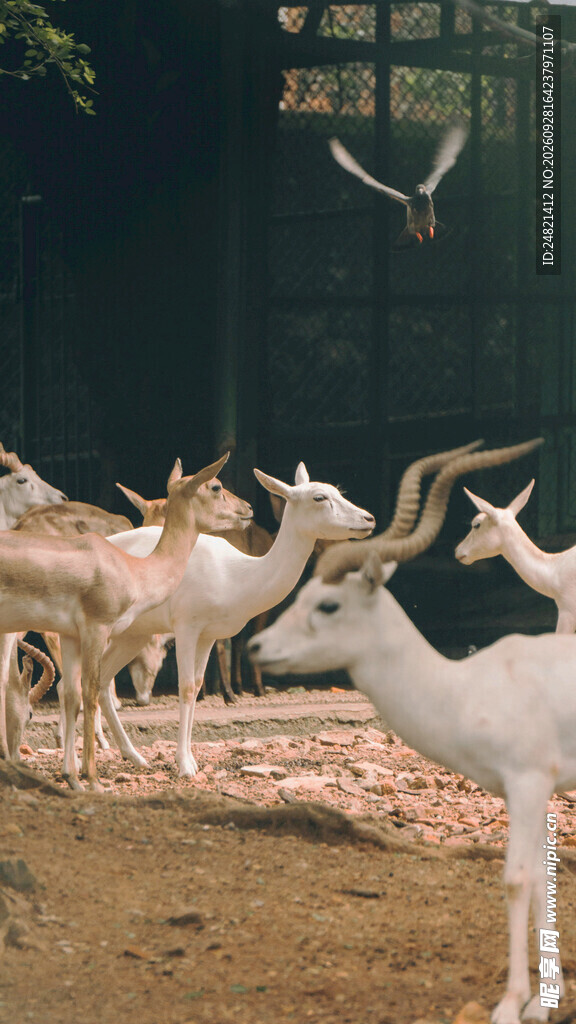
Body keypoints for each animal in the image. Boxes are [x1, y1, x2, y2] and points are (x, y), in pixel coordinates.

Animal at [0, 454, 231, 790]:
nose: (248, 510)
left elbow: (71, 695)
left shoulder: (70, 636)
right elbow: (91, 692)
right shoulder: (97, 629)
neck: (133, 568)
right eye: (216, 486)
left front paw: (73, 778)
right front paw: (94, 779)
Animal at [69, 439, 540, 780]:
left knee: (103, 682)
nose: (368, 519)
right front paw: (186, 766)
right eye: (317, 497)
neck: (237, 575)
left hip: (134, 634)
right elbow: (186, 688)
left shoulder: (209, 635)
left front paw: (187, 759)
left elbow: (199, 686)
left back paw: (134, 758)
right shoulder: (186, 628)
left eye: (337, 491)